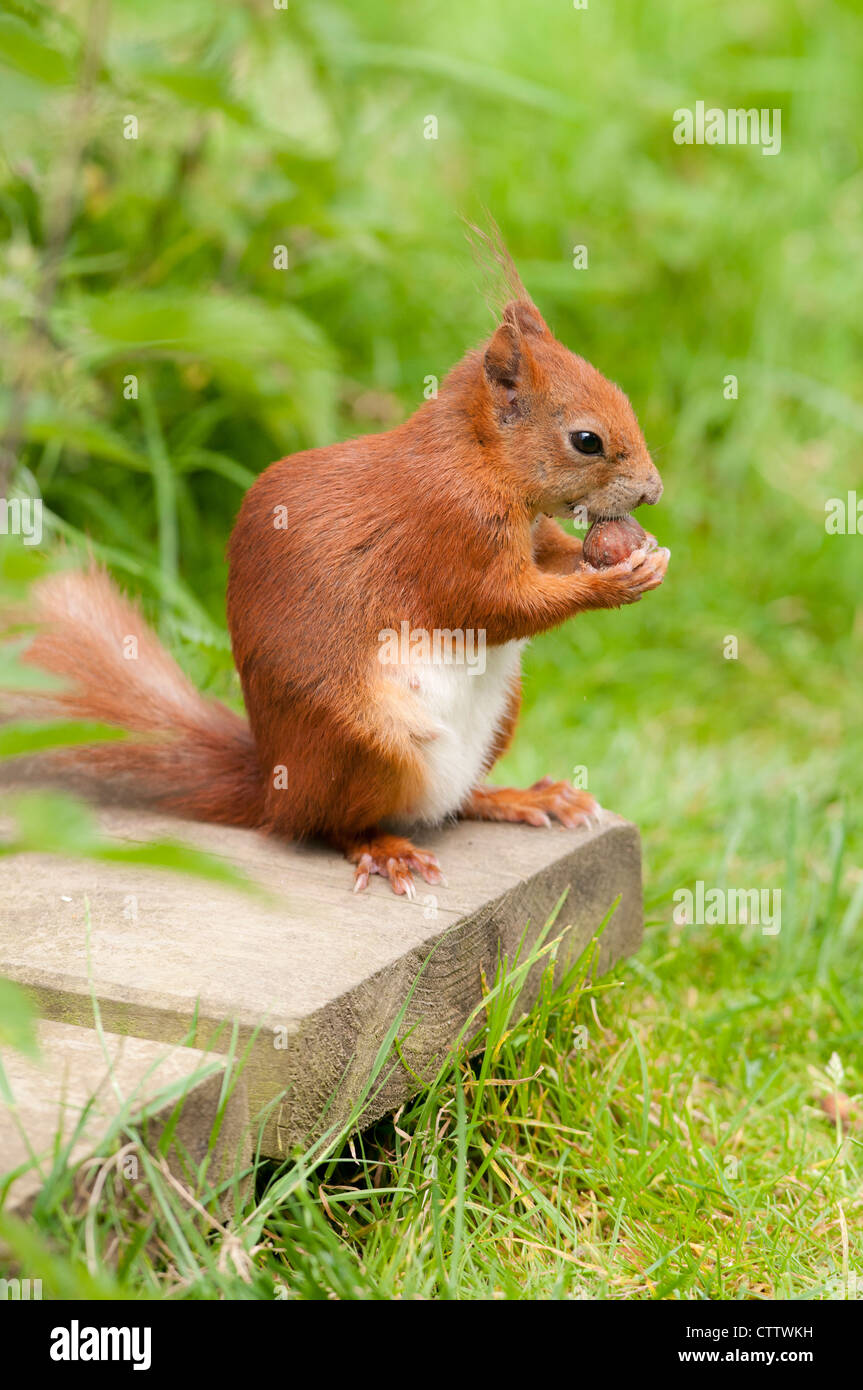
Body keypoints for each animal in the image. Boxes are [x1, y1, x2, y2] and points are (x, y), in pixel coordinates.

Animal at [6, 227, 667, 895]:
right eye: (587, 440)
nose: (653, 492)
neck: (478, 458)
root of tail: (272, 790)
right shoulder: (448, 531)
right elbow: (498, 605)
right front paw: (614, 582)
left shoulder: (532, 534)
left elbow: (553, 556)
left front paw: (646, 556)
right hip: (369, 741)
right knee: (334, 825)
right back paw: (384, 849)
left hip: (498, 715)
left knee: (452, 804)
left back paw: (522, 797)